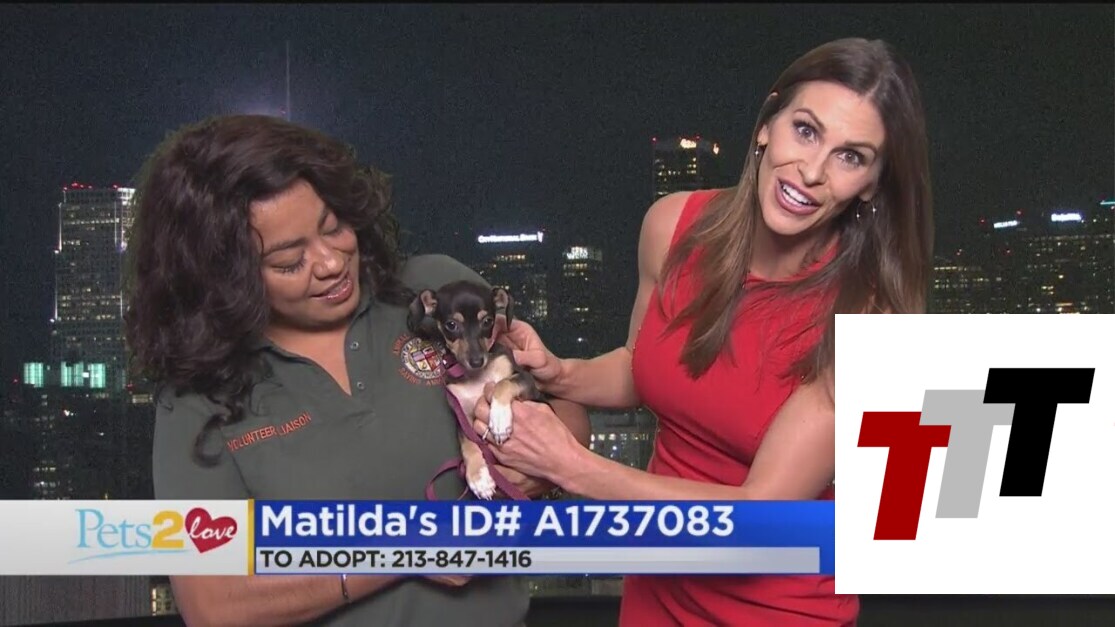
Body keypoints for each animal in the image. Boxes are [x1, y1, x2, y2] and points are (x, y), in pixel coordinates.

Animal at [407, 280, 545, 499]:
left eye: (487, 321)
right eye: (451, 325)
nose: (477, 361)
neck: (476, 376)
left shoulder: (527, 381)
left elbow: (502, 384)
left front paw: (499, 420)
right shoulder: (462, 415)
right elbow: (467, 443)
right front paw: (478, 477)